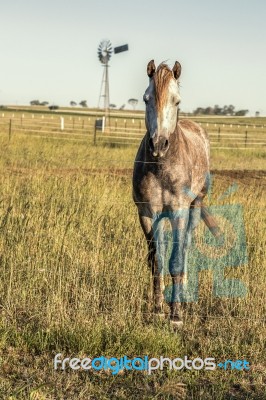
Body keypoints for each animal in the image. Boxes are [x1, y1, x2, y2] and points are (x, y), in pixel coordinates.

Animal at [132, 59, 221, 328]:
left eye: (177, 101)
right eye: (146, 99)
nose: (158, 144)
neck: (162, 165)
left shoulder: (179, 211)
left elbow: (175, 260)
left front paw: (176, 315)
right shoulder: (148, 214)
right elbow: (157, 261)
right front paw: (157, 309)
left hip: (194, 207)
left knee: (185, 247)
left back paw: (185, 288)